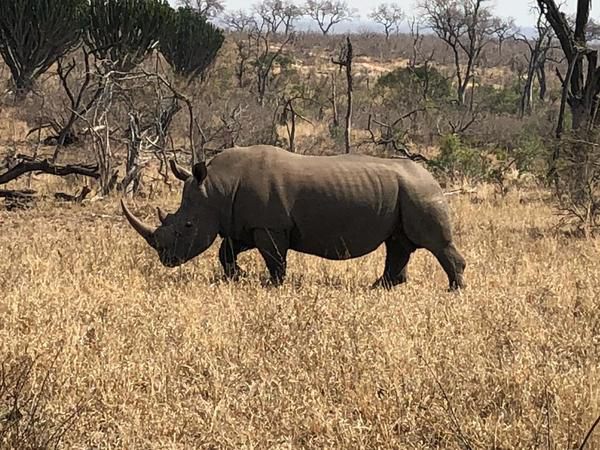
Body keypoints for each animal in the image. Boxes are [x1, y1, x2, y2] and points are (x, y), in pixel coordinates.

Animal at [122, 146, 466, 290]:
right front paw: (237, 277)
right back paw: (380, 287)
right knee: (398, 243)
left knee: (434, 243)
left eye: (188, 226)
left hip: (419, 193)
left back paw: (453, 290)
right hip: (406, 194)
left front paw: (272, 285)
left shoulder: (270, 226)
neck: (217, 187)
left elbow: (275, 258)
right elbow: (225, 251)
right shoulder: (244, 224)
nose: (166, 260)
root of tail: (431, 177)